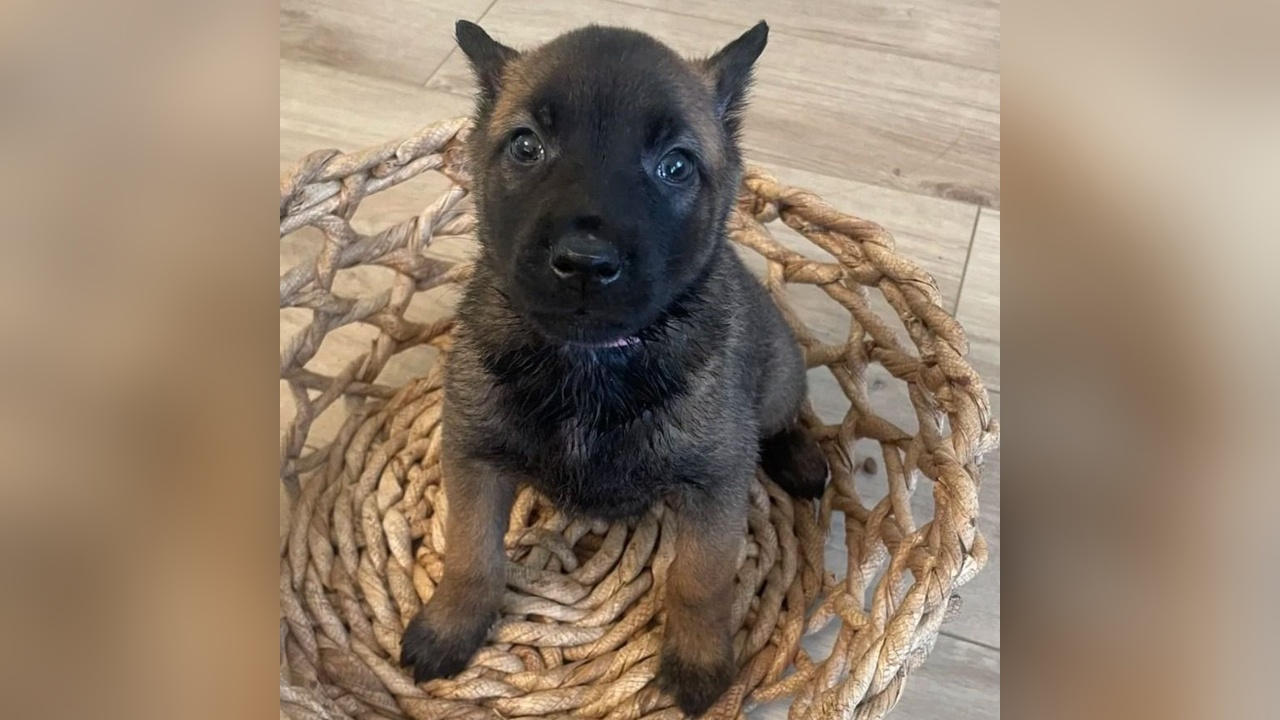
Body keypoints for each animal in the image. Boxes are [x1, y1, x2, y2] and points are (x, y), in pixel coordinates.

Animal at [399, 20, 829, 716]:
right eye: (526, 146)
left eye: (675, 165)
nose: (584, 262)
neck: (591, 360)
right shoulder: (474, 457)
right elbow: (471, 553)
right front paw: (450, 625)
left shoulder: (715, 485)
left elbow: (700, 577)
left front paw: (698, 657)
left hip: (781, 376)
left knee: (785, 418)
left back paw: (799, 458)